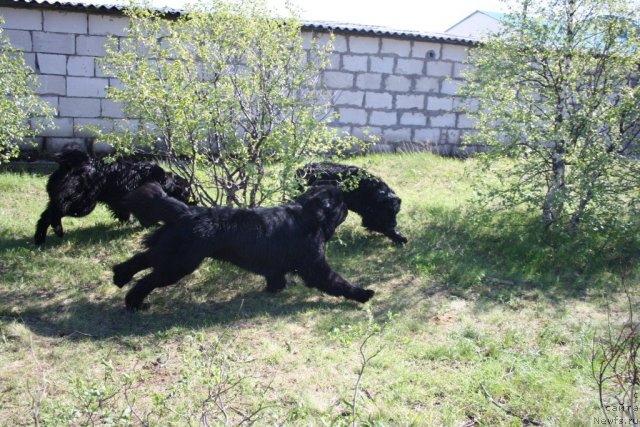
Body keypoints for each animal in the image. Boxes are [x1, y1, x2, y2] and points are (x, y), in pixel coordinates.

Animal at [35, 147, 190, 246]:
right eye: (186, 195)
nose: (188, 205)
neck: (162, 180)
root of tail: (71, 165)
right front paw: (148, 224)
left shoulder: (121, 202)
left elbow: (124, 212)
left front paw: (127, 222)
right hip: (82, 203)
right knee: (54, 213)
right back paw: (57, 230)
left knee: (45, 216)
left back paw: (40, 239)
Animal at [112, 185, 372, 310]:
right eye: (339, 203)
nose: (346, 205)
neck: (307, 217)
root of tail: (186, 211)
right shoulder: (315, 266)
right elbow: (337, 282)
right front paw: (363, 294)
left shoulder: (277, 266)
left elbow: (275, 277)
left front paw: (274, 289)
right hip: (179, 264)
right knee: (146, 281)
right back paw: (135, 304)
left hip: (170, 253)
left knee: (140, 259)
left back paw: (119, 277)